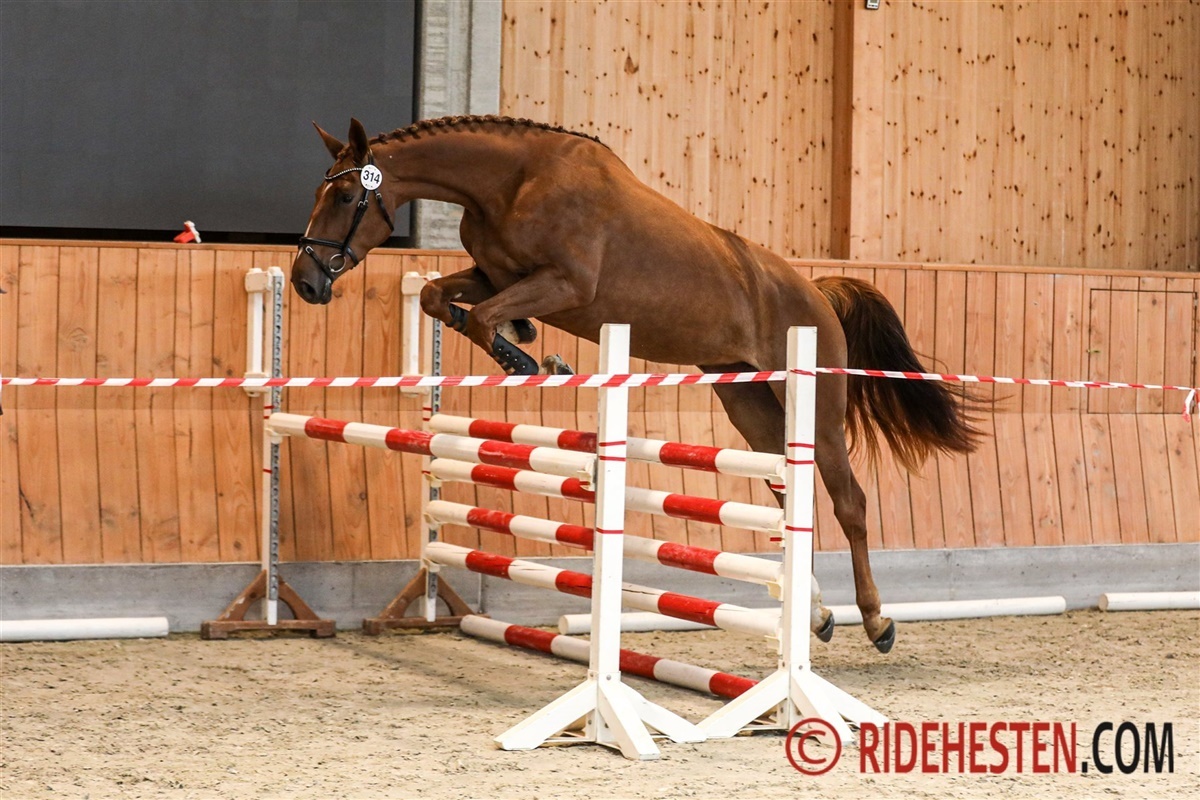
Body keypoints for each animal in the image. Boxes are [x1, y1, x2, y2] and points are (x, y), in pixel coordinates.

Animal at [291, 115, 983, 653]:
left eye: (347, 198)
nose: (304, 282)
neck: (512, 184)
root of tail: (816, 290)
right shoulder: (495, 274)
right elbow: (444, 298)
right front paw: (526, 343)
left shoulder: (565, 285)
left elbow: (484, 317)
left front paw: (537, 363)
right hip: (746, 399)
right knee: (790, 496)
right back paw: (813, 614)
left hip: (812, 404)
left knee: (849, 502)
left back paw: (877, 621)